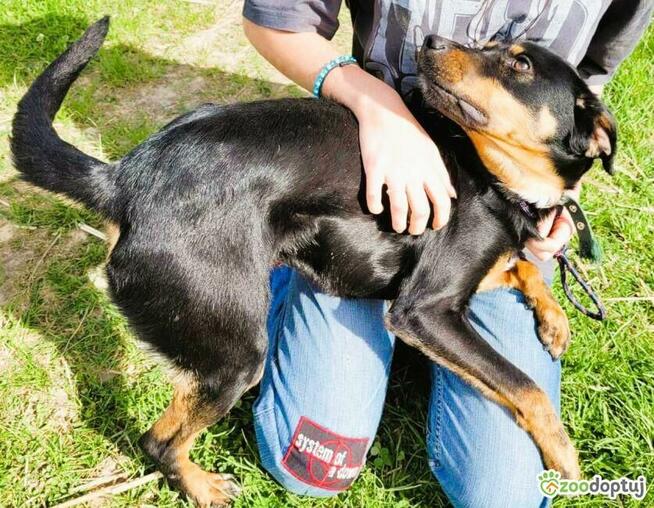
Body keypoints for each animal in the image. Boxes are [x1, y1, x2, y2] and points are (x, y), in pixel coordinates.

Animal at [10, 17, 616, 506]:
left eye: (517, 62)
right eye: (501, 52)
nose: (432, 42)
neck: (495, 175)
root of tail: (124, 179)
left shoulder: (471, 279)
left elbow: (524, 266)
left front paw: (554, 318)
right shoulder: (424, 311)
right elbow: (524, 385)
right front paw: (566, 457)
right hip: (236, 354)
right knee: (158, 439)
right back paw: (203, 488)